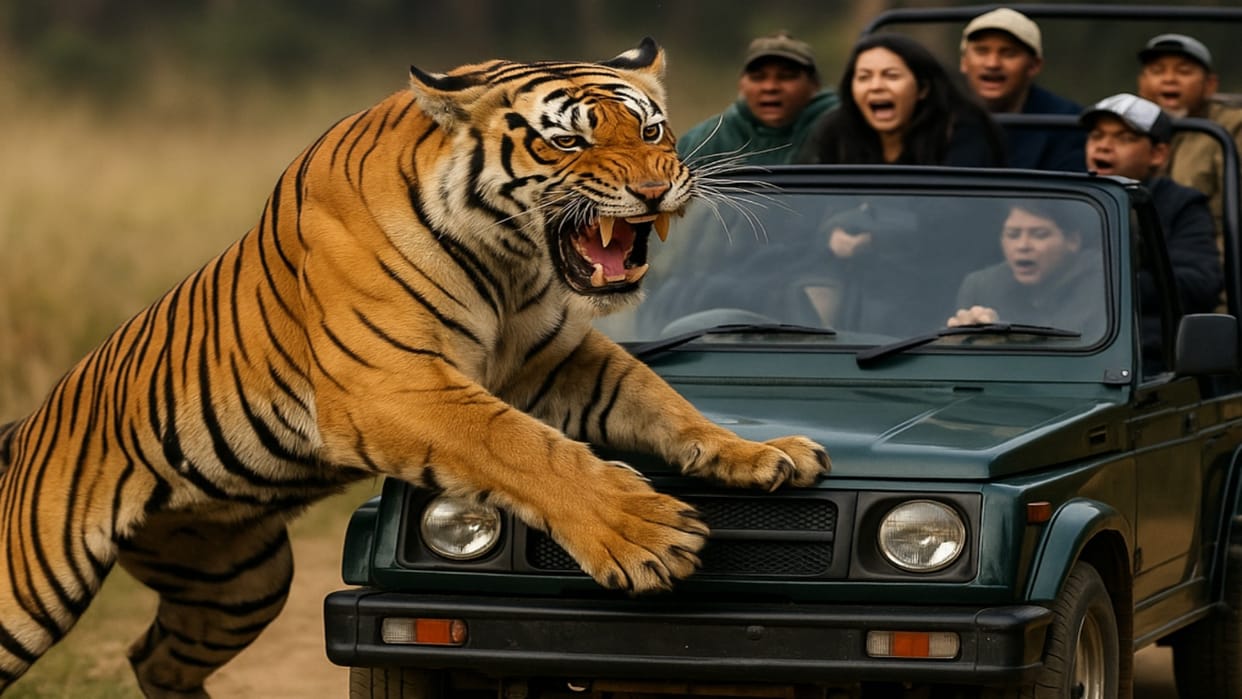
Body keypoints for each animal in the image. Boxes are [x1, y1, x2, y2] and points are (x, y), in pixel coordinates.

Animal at [0, 39, 830, 697]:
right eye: (568, 144)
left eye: (652, 129)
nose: (659, 187)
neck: (508, 258)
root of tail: (32, 421)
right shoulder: (395, 384)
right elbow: (524, 447)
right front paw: (648, 531)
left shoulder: (554, 359)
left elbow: (661, 399)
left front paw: (763, 453)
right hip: (29, 589)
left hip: (237, 585)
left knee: (155, 658)